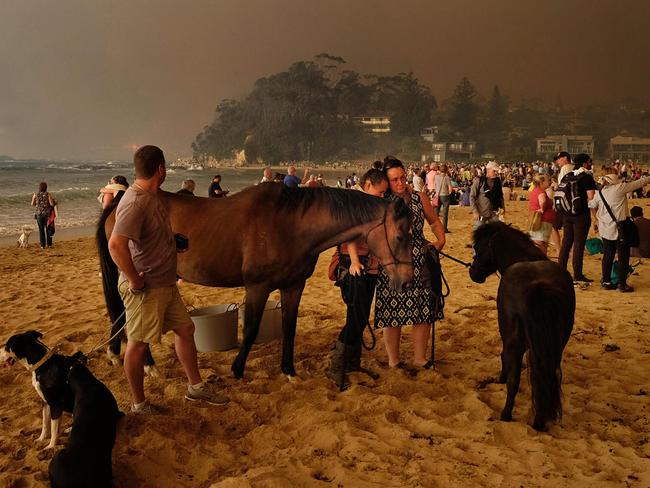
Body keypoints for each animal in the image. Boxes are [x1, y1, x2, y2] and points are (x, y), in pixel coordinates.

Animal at [97, 183, 410, 378]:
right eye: (399, 236)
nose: (407, 282)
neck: (289, 224)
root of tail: (121, 200)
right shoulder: (257, 287)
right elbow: (249, 330)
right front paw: (236, 370)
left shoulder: (293, 286)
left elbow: (289, 328)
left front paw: (289, 371)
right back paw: (147, 365)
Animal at [466, 222, 572, 430]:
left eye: (479, 248)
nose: (472, 273)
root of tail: (537, 285)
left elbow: (505, 360)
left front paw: (501, 378)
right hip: (556, 345)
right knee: (544, 377)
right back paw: (539, 420)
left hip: (514, 340)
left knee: (516, 379)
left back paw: (506, 414)